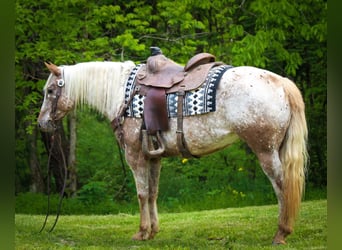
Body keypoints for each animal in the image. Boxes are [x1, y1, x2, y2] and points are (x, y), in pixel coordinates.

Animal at [37, 57, 308, 244]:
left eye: (50, 91)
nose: (41, 123)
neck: (121, 92)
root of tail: (282, 83)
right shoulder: (154, 156)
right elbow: (153, 193)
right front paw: (153, 231)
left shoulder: (135, 155)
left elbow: (141, 194)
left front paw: (141, 232)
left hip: (266, 151)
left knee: (282, 186)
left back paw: (281, 233)